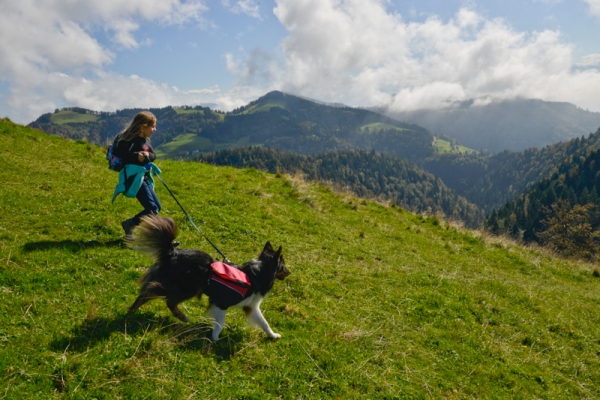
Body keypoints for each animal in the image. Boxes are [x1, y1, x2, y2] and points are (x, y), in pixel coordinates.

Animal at [126, 216, 290, 340]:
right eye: (283, 265)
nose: (289, 272)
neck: (258, 273)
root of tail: (172, 252)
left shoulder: (251, 306)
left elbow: (264, 322)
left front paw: (273, 335)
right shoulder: (221, 302)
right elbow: (220, 322)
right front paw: (215, 338)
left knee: (158, 297)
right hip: (187, 287)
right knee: (156, 294)